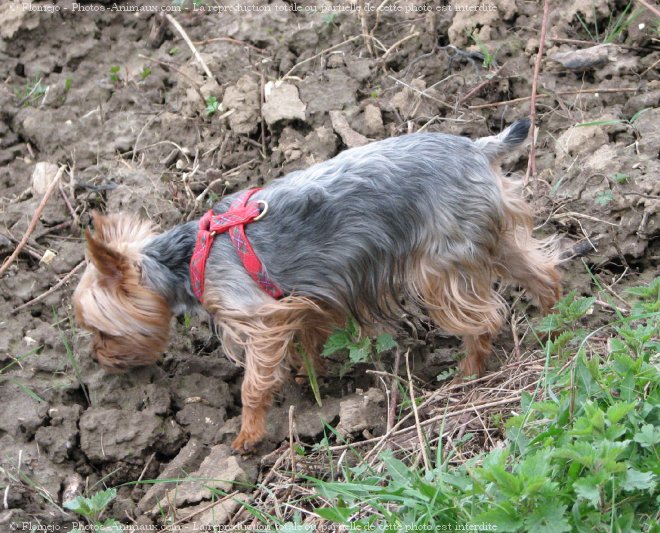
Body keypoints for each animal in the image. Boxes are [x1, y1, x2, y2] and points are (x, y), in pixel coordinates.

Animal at [73, 119, 564, 448]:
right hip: (490, 231)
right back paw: (555, 322)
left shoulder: (258, 317)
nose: (98, 359)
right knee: (540, 271)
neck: (187, 257)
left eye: (102, 331)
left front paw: (248, 434)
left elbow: (254, 382)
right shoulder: (306, 299)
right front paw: (308, 376)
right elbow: (308, 344)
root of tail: (478, 149)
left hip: (439, 264)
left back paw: (468, 373)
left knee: (483, 317)